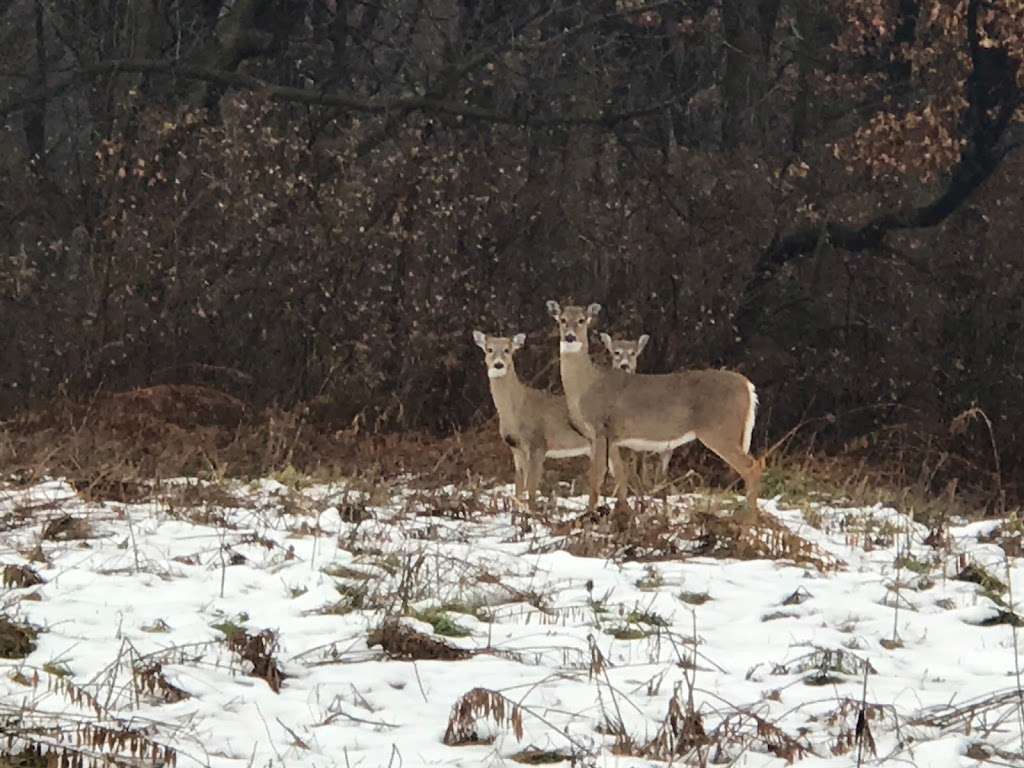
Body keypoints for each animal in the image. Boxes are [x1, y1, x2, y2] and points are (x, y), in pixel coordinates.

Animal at [468, 331, 589, 512]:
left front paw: (531, 513)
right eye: (489, 349)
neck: (517, 410)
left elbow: (531, 488)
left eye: (507, 350)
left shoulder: (538, 444)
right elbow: (519, 486)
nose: (498, 364)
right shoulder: (515, 448)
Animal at [544, 301, 761, 524]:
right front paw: (622, 514)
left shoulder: (600, 428)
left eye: (581, 320)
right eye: (562, 320)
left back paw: (749, 523)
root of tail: (748, 386)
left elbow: (596, 475)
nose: (570, 337)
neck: (586, 386)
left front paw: (591, 516)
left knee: (752, 468)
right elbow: (619, 474)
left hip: (720, 430)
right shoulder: (612, 437)